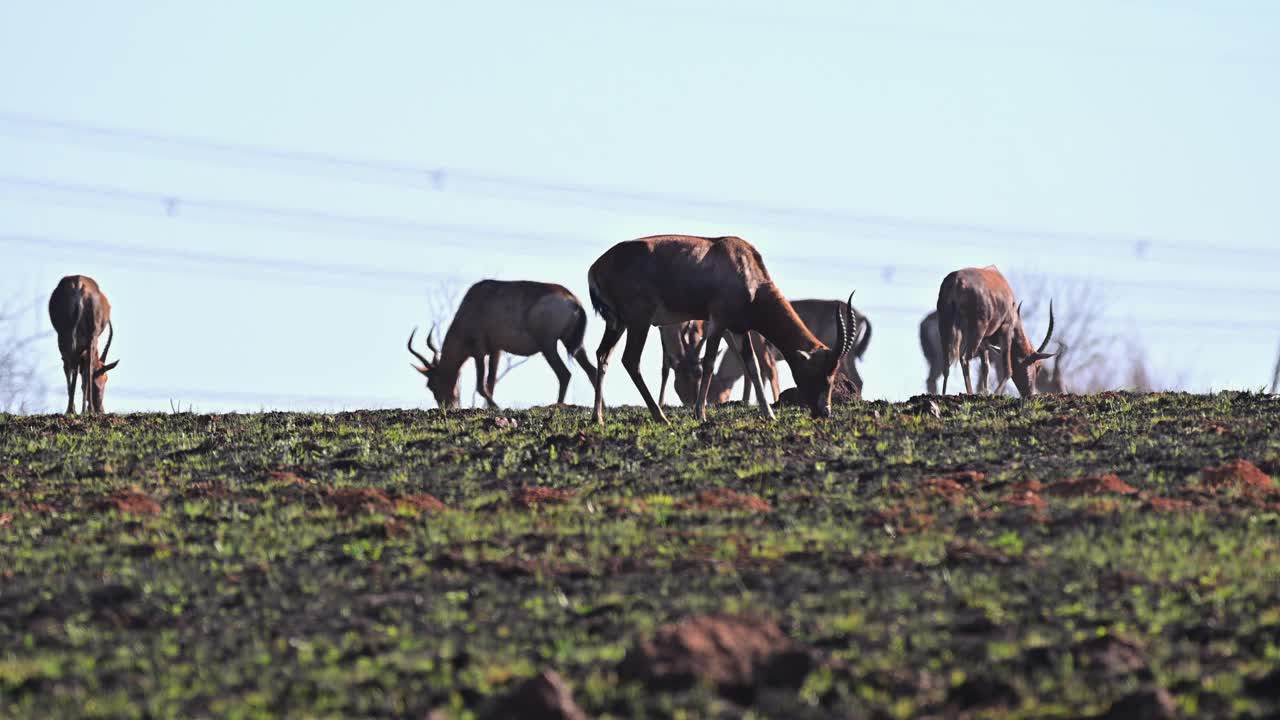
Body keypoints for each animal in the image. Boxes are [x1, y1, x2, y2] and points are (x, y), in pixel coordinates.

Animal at [48, 272, 119, 412]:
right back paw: (86, 408)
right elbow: (86, 371)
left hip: (64, 335)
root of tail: (79, 285)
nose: (101, 409)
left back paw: (71, 409)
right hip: (89, 337)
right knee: (82, 366)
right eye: (104, 378)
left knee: (70, 365)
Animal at [404, 278, 593, 407]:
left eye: (432, 385)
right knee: (592, 370)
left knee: (564, 374)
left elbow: (481, 387)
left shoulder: (479, 352)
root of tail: (574, 301)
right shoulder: (496, 351)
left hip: (548, 346)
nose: (449, 406)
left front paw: (497, 408)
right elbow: (491, 383)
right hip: (574, 345)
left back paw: (558, 405)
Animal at [586, 233, 855, 420]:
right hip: (638, 322)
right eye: (823, 373)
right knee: (630, 360)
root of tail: (596, 267)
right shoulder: (718, 322)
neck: (742, 263)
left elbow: (752, 367)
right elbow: (708, 363)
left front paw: (769, 414)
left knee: (603, 355)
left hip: (617, 323)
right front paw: (700, 414)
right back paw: (661, 417)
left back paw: (597, 418)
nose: (825, 412)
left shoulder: (739, 329)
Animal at [936, 266, 1054, 394]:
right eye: (1038, 366)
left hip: (945, 324)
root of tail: (956, 280)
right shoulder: (1006, 330)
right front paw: (995, 393)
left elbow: (986, 367)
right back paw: (970, 392)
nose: (1030, 393)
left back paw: (944, 393)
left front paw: (986, 392)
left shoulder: (984, 341)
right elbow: (1008, 370)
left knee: (947, 363)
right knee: (964, 358)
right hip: (978, 329)